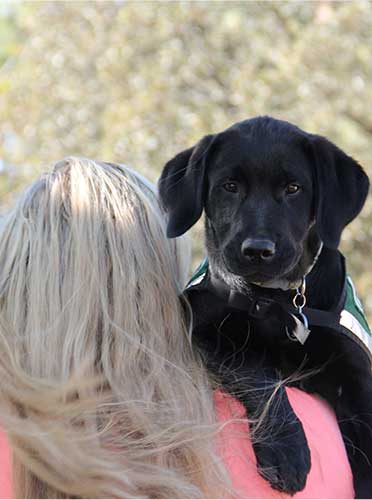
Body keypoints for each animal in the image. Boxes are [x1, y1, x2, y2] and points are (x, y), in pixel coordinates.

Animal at [158, 117, 372, 496]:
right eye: (229, 186)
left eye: (293, 188)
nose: (258, 250)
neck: (278, 300)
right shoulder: (204, 333)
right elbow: (259, 374)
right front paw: (286, 450)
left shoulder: (357, 375)